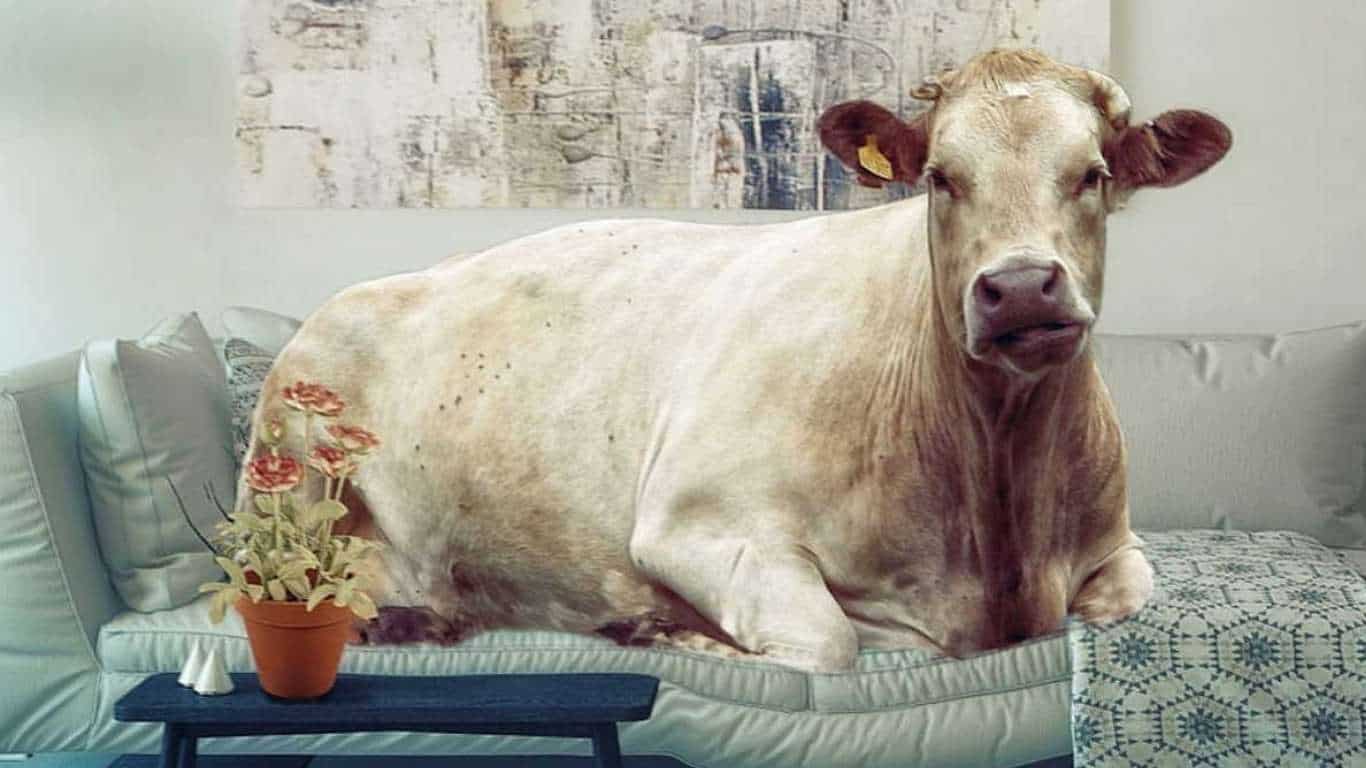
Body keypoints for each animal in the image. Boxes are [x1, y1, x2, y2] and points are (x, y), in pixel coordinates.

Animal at [242, 49, 1231, 672]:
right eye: (941, 178)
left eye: (1094, 173)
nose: (1022, 287)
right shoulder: (694, 527)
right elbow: (830, 642)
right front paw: (656, 626)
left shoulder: (1117, 546)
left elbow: (1117, 599)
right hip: (285, 473)